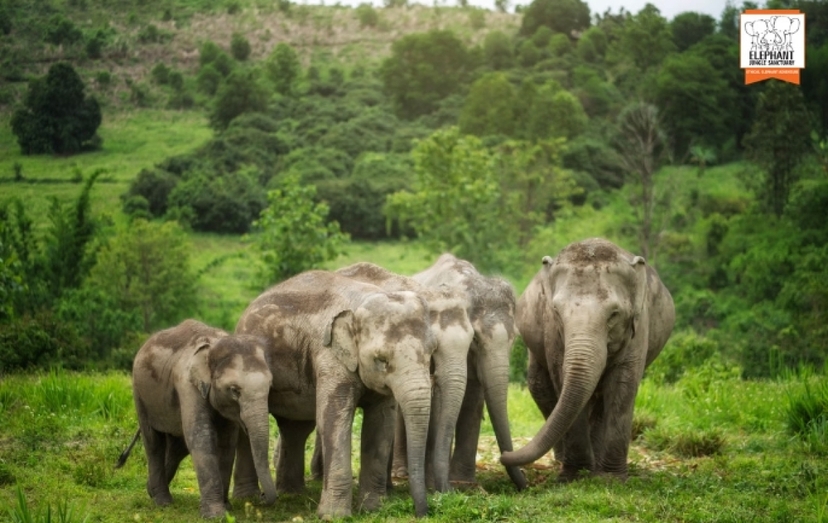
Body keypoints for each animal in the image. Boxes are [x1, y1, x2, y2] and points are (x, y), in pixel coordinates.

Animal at [127, 319, 276, 519]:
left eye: (270, 386)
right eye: (234, 390)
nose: (261, 496)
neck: (215, 345)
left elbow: (227, 443)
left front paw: (227, 507)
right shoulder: (187, 385)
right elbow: (201, 438)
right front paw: (215, 515)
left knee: (177, 446)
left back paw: (151, 491)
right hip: (140, 394)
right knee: (153, 442)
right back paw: (162, 502)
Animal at [230, 270, 436, 519]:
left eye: (432, 352)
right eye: (381, 360)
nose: (423, 513)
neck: (361, 301)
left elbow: (381, 424)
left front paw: (372, 510)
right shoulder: (329, 356)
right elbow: (333, 420)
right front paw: (334, 516)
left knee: (295, 428)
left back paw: (291, 494)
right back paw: (247, 499)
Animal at [500, 238, 675, 482]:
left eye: (614, 314)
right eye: (556, 310)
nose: (504, 455)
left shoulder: (639, 327)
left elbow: (623, 384)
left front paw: (611, 478)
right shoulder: (551, 330)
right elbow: (561, 377)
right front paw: (574, 475)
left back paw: (597, 462)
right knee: (540, 387)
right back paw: (565, 460)